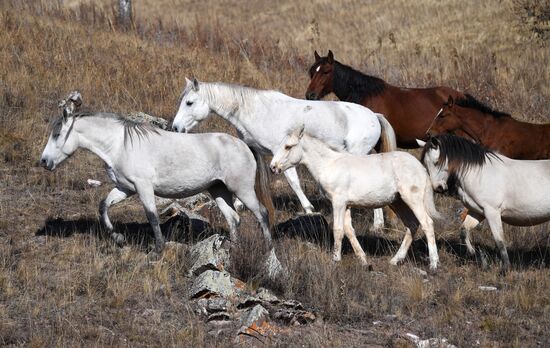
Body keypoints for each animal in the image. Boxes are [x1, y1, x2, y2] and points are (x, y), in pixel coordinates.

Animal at [38, 110, 274, 251]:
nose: (44, 161)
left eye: (57, 134)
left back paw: (269, 250)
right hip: (219, 190)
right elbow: (103, 206)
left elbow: (152, 216)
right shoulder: (125, 188)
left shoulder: (144, 188)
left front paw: (158, 248)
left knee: (261, 213)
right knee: (233, 218)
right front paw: (118, 238)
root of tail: (244, 145)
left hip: (242, 190)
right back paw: (232, 247)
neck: (120, 145)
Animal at [171, 78, 396, 228]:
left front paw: (309, 209)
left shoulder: (281, 154)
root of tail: (374, 116)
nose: (175, 127)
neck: (256, 111)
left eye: (189, 102)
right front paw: (239, 204)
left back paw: (377, 224)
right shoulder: (256, 151)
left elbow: (293, 182)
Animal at [270, 125, 442, 270]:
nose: (273, 167)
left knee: (427, 223)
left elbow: (338, 229)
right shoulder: (346, 205)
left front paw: (335, 259)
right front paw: (363, 260)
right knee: (412, 224)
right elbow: (349, 230)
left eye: (288, 146)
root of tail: (421, 168)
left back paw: (433, 264)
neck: (328, 165)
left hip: (413, 199)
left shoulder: (338, 202)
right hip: (398, 202)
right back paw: (395, 260)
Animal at [418, 135, 550, 274]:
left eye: (437, 161)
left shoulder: (492, 212)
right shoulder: (477, 212)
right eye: (425, 164)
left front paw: (505, 269)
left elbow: (499, 241)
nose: (438, 188)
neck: (479, 174)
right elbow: (464, 231)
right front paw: (474, 254)